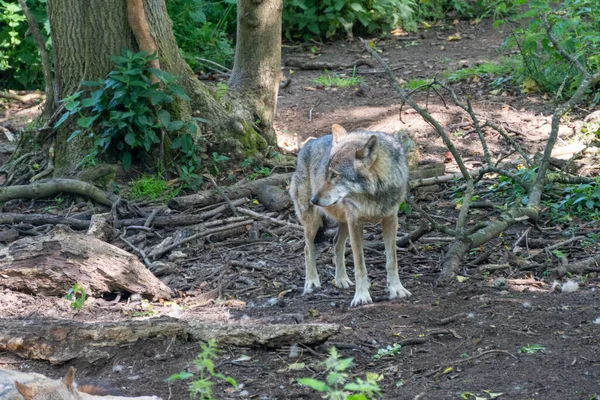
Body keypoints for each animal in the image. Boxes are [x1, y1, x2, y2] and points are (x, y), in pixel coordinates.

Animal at [290, 125, 412, 306]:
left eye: (335, 175)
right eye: (326, 174)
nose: (314, 200)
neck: (373, 195)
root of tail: (308, 143)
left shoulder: (390, 220)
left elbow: (392, 261)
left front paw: (396, 289)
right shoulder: (355, 223)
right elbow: (359, 265)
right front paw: (361, 297)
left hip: (344, 222)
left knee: (336, 244)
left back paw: (341, 279)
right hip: (313, 222)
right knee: (307, 249)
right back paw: (311, 282)